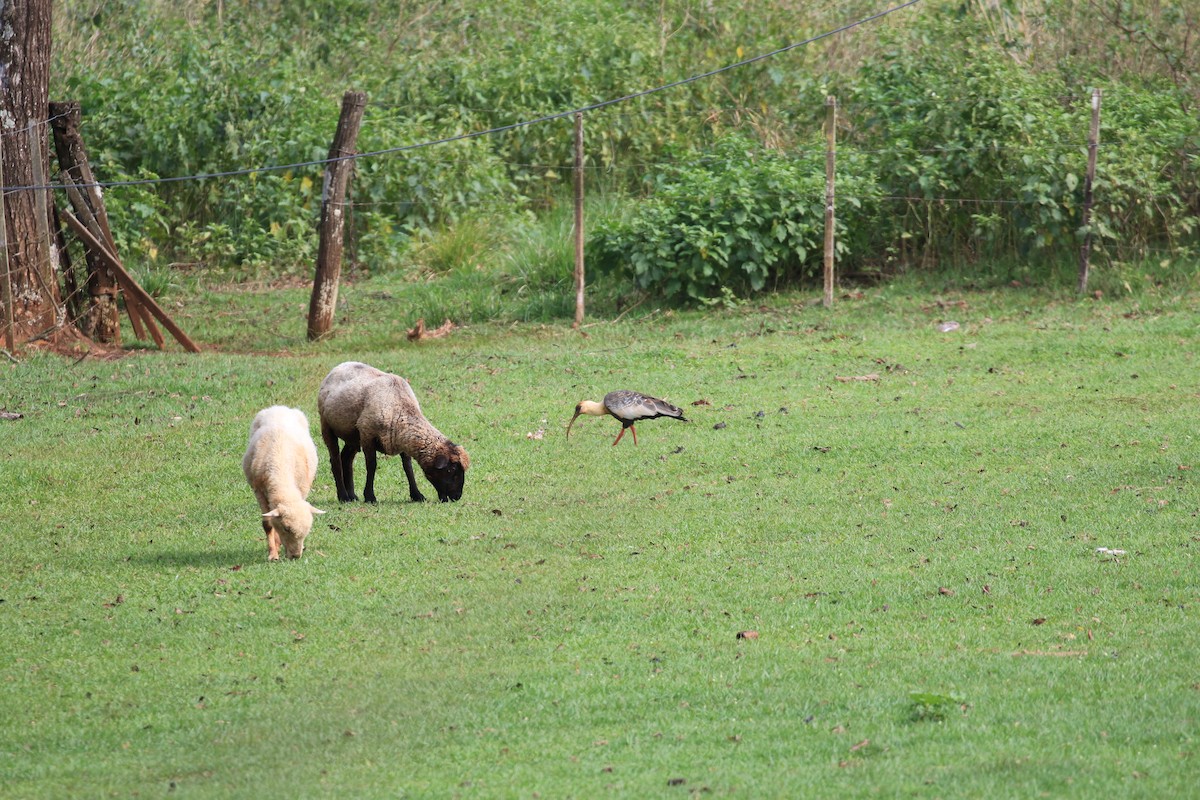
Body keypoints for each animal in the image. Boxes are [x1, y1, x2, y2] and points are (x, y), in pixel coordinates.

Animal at [241, 407, 326, 556]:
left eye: (308, 530)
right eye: (286, 528)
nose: (296, 556)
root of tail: (279, 407)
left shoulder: (302, 489)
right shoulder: (258, 490)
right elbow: (268, 524)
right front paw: (273, 554)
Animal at [316, 362, 470, 501]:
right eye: (451, 470)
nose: (457, 497)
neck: (400, 407)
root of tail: (337, 367)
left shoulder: (402, 439)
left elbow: (408, 467)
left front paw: (417, 495)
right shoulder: (367, 435)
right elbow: (372, 465)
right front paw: (370, 497)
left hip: (353, 435)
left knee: (346, 459)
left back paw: (352, 495)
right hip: (327, 426)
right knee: (335, 460)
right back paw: (343, 496)